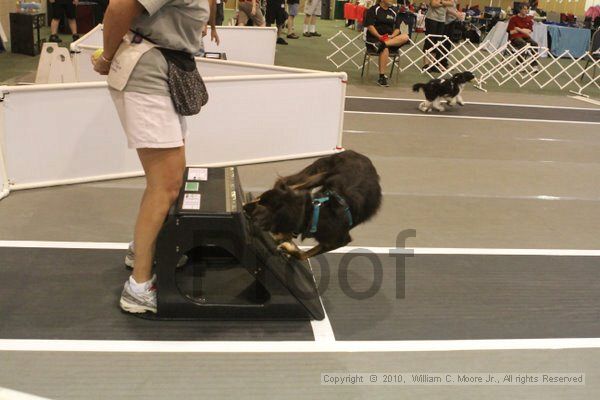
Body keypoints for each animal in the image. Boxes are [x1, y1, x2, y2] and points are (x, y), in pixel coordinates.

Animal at [246, 150, 382, 260]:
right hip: (319, 175)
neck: (313, 214)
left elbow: (303, 255)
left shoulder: (338, 241)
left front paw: (288, 247)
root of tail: (356, 153)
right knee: (287, 182)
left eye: (259, 214)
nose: (244, 208)